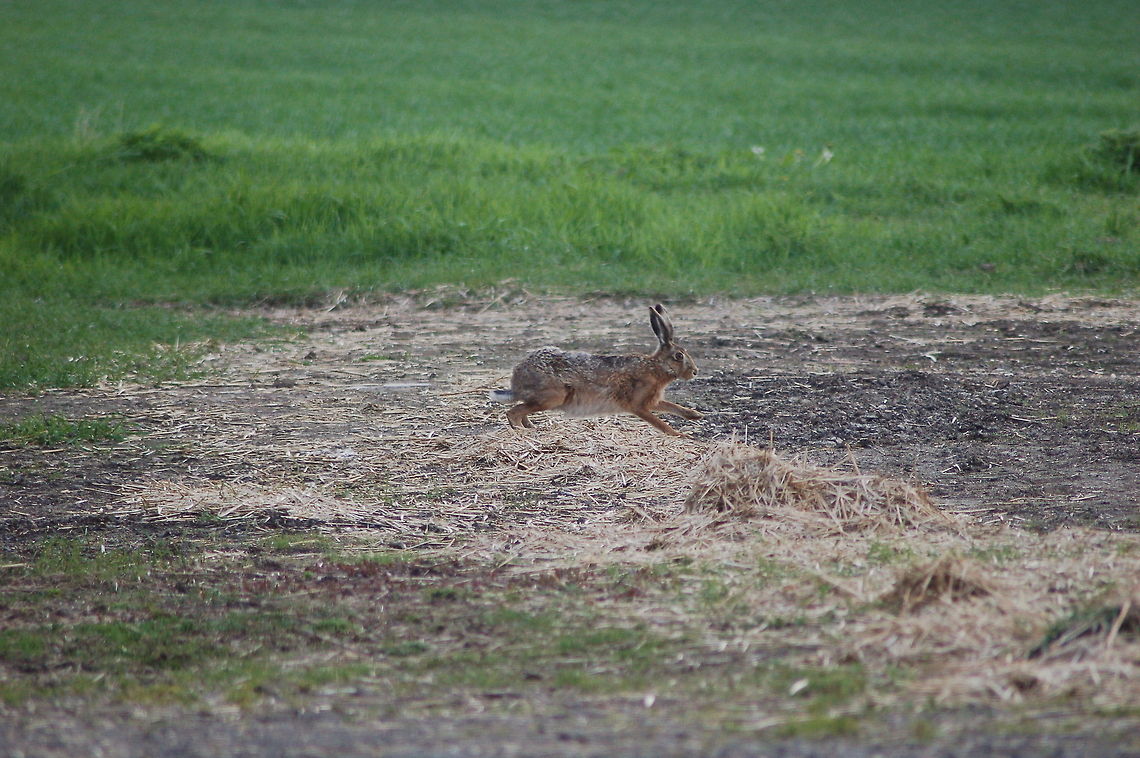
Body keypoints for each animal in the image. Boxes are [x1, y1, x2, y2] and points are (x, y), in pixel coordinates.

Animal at [489, 304, 702, 436]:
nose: (695, 372)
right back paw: (523, 431)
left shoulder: (652, 400)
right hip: (553, 397)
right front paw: (680, 435)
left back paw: (532, 427)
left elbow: (671, 406)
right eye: (679, 356)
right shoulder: (637, 404)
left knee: (521, 410)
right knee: (513, 412)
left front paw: (695, 415)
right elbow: (659, 422)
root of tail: (516, 380)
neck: (656, 367)